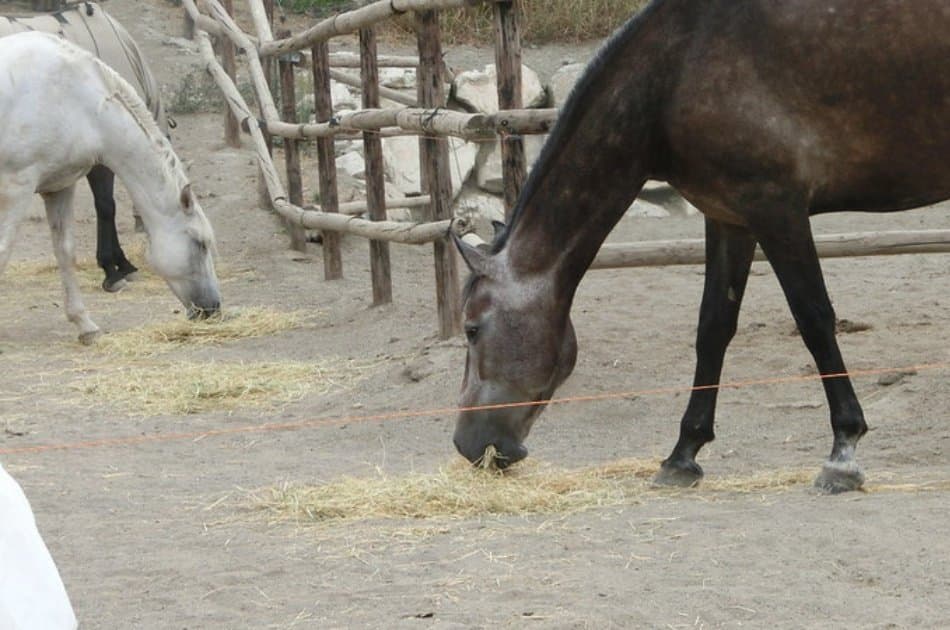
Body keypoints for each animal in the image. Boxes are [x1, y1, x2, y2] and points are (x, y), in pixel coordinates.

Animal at [0, 32, 220, 344]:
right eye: (200, 243)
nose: (213, 308)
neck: (75, 100)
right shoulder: (16, 187)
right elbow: (3, 253)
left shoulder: (59, 187)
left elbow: (65, 252)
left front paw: (84, 324)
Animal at [451, 0, 950, 493]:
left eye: (472, 329)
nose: (467, 444)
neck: (675, 71)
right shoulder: (730, 218)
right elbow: (713, 328)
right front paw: (683, 454)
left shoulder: (777, 210)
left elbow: (814, 320)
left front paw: (842, 452)